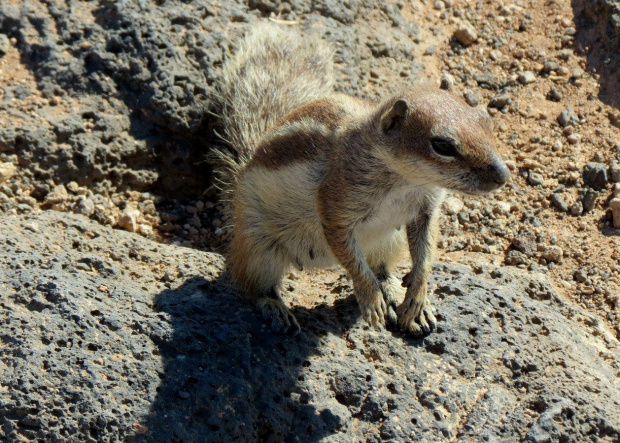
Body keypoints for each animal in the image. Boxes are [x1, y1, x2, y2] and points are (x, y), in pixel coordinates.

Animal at [213, 23, 508, 336]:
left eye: (485, 121)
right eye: (442, 146)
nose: (503, 176)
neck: (407, 181)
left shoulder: (426, 208)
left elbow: (426, 252)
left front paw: (417, 294)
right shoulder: (337, 204)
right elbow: (351, 257)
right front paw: (370, 298)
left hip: (390, 241)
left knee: (382, 267)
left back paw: (395, 291)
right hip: (258, 249)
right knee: (250, 285)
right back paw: (275, 308)